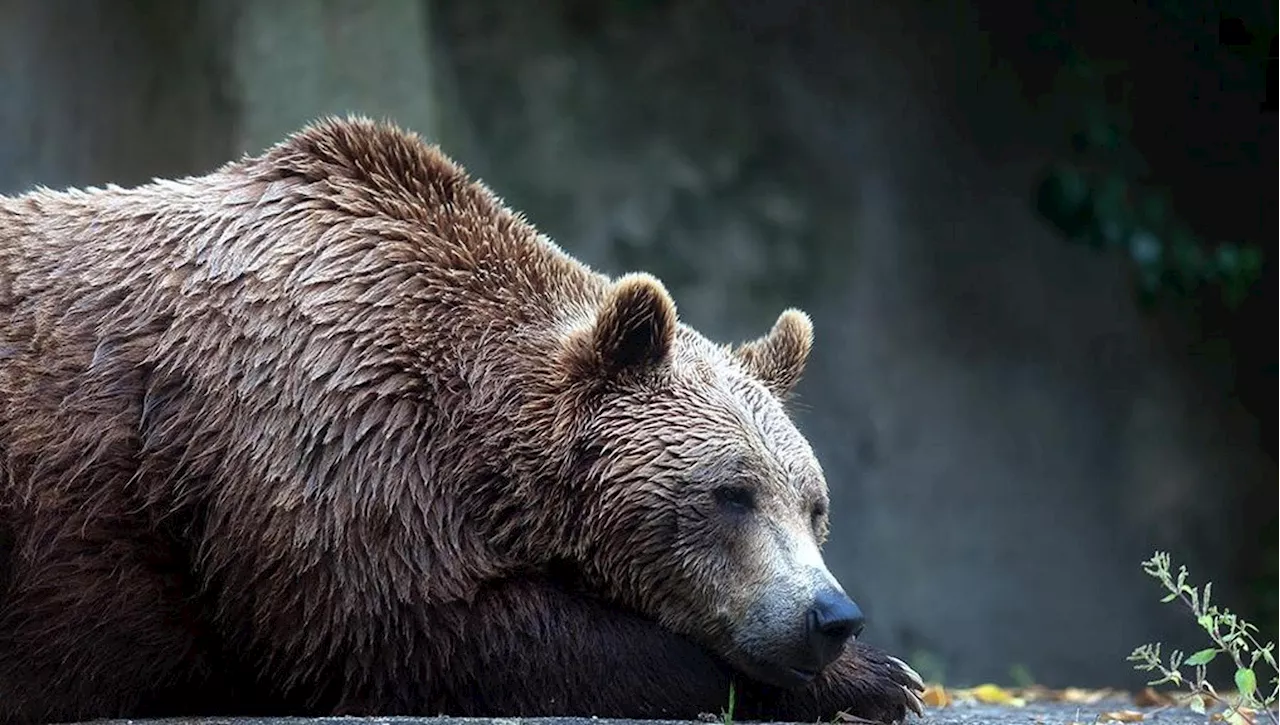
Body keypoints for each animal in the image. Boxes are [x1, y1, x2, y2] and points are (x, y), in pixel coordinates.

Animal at [0, 116, 926, 722]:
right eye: (731, 492)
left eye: (814, 504)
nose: (831, 615)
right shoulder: (313, 451)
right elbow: (425, 627)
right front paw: (882, 678)